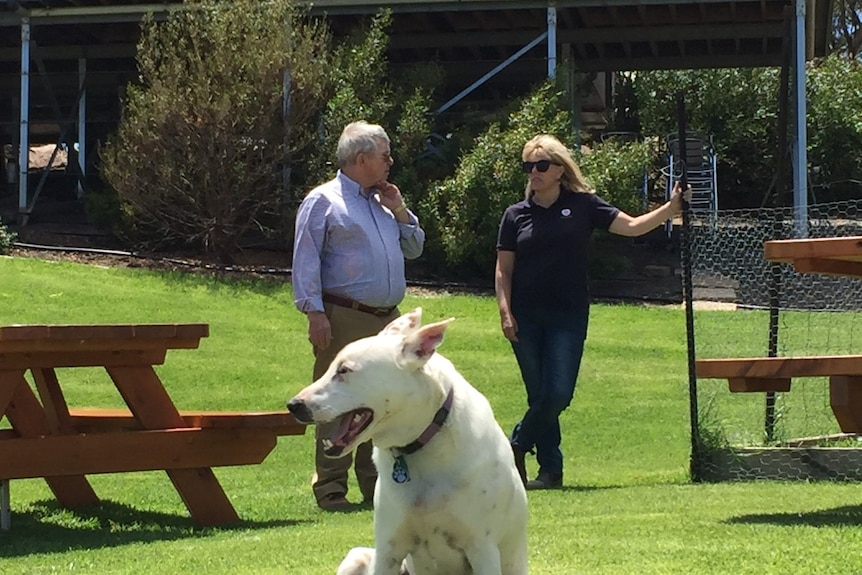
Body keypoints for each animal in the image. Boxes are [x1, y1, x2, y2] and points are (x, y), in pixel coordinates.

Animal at [288, 310, 528, 575]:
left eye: (344, 370)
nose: (293, 405)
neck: (421, 444)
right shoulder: (388, 549)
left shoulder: (482, 548)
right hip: (356, 556)